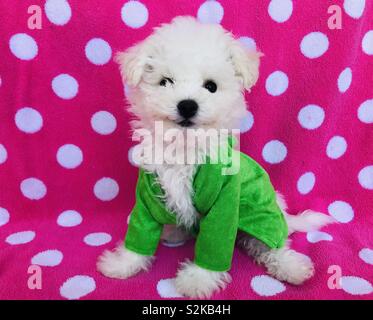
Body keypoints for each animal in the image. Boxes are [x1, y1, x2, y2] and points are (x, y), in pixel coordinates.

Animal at [96, 16, 332, 298]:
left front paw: (199, 279)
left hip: (262, 212)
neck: (184, 147)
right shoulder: (148, 193)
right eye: (165, 81)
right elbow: (140, 231)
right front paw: (124, 262)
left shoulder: (225, 202)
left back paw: (290, 266)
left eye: (211, 86)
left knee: (272, 242)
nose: (187, 105)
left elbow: (214, 243)